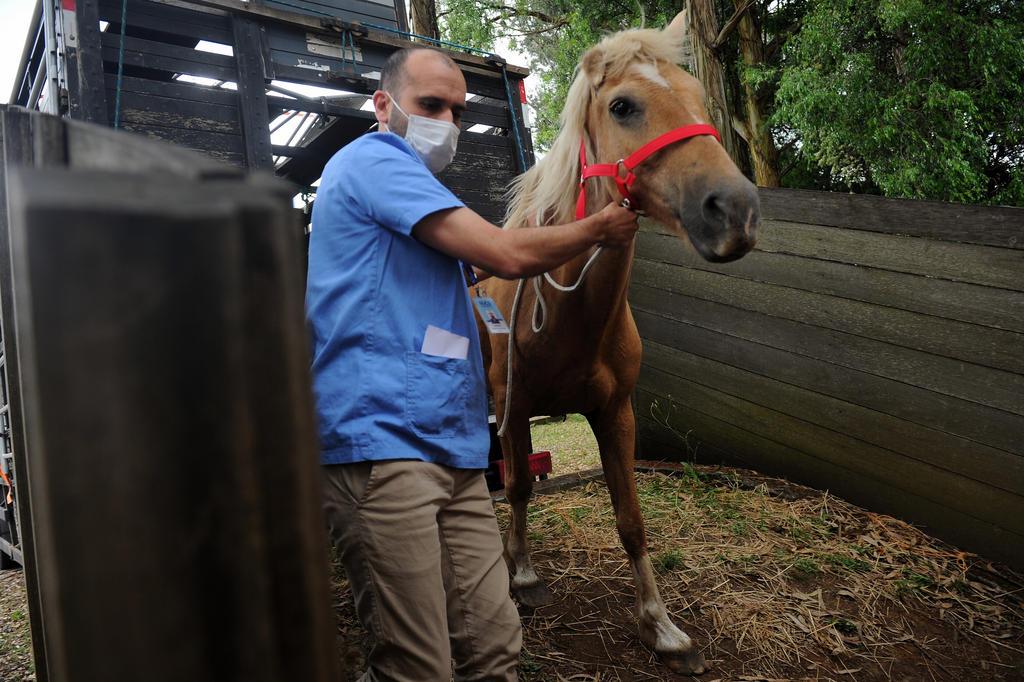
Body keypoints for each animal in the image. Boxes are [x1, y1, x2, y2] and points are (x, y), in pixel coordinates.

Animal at [479, 11, 761, 675]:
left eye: (697, 98)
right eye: (623, 106)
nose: (735, 209)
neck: (565, 314)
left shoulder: (615, 413)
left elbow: (631, 521)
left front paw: (662, 628)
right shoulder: (513, 407)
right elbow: (519, 486)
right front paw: (523, 576)